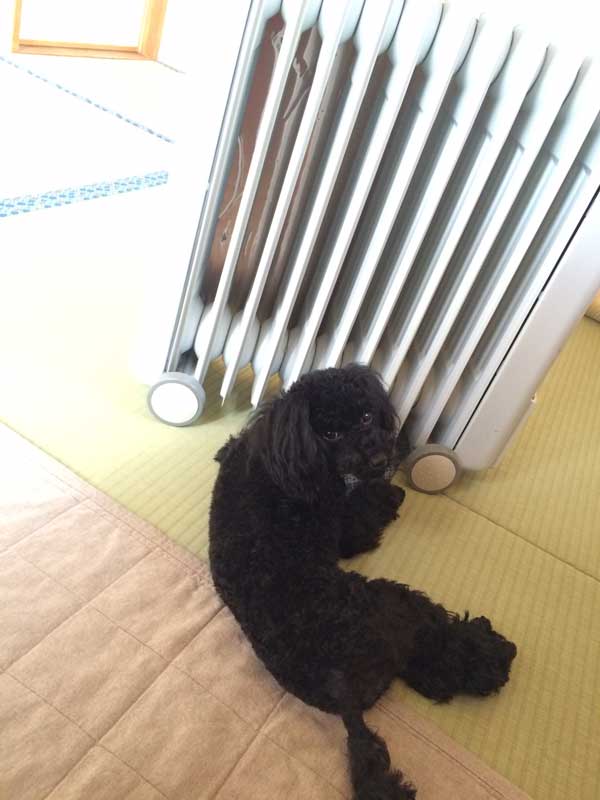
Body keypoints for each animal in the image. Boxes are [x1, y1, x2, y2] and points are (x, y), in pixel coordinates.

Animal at [209, 364, 516, 799]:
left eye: (368, 416)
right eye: (330, 433)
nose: (379, 456)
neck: (282, 461)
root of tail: (343, 691)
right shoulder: (347, 526)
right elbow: (367, 507)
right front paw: (391, 488)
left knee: (432, 675)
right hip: (393, 601)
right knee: (439, 642)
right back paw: (490, 654)